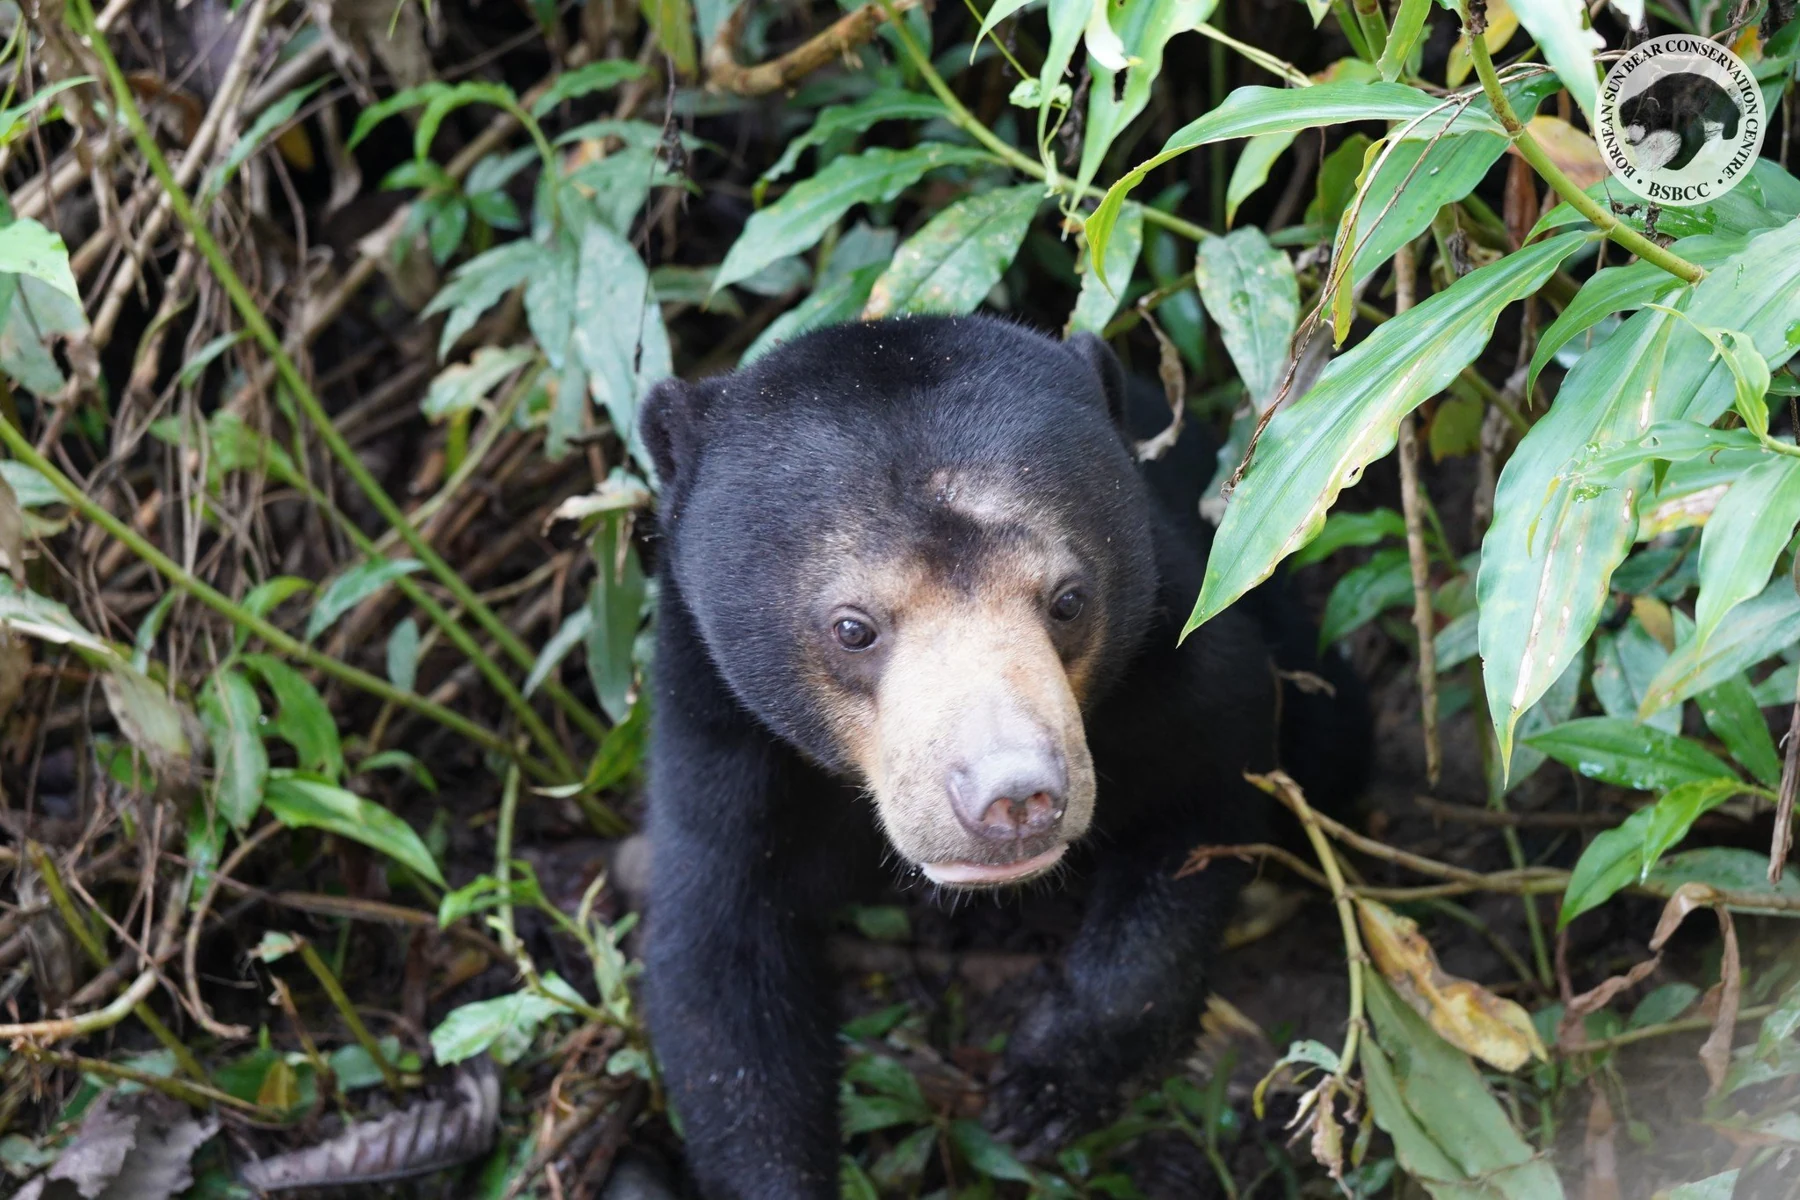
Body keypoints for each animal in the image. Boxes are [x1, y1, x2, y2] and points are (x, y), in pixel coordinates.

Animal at [637, 315, 1370, 1198]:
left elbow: (1201, 805)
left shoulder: (1180, 649)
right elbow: (722, 971)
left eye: (1068, 600)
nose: (1015, 798)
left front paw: (1047, 1090)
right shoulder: (718, 740)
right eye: (852, 628)